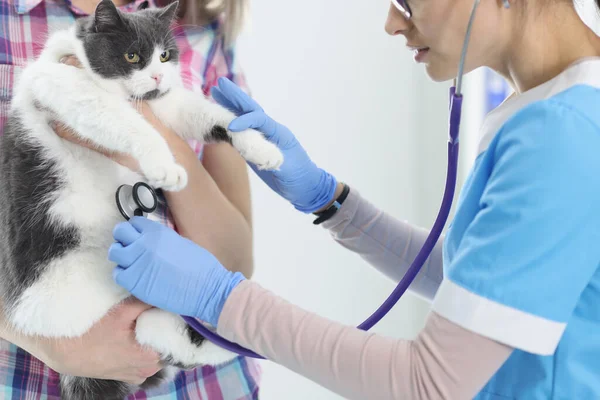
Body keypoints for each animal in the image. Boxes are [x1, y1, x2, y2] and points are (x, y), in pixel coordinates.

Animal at [0, 1, 282, 398]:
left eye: (165, 55)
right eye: (132, 55)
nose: (157, 77)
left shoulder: (168, 104)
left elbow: (214, 117)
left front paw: (262, 146)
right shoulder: (64, 87)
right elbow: (129, 123)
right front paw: (165, 165)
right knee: (170, 335)